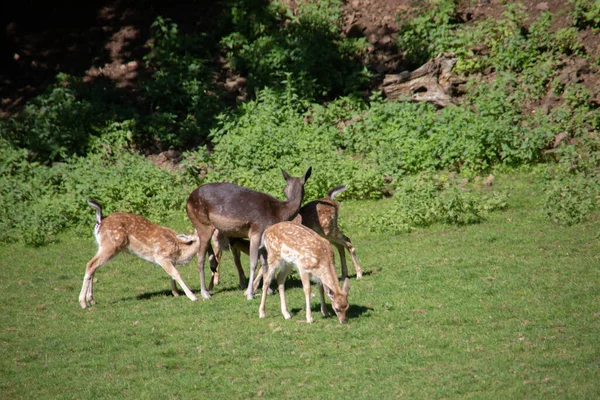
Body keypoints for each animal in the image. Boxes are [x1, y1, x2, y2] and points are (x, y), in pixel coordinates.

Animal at [185, 166, 312, 300]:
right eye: (285, 186)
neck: (278, 213)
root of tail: (188, 201)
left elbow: (265, 263)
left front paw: (268, 290)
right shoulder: (256, 232)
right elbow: (253, 262)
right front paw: (250, 293)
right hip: (203, 223)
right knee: (200, 257)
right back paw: (205, 293)